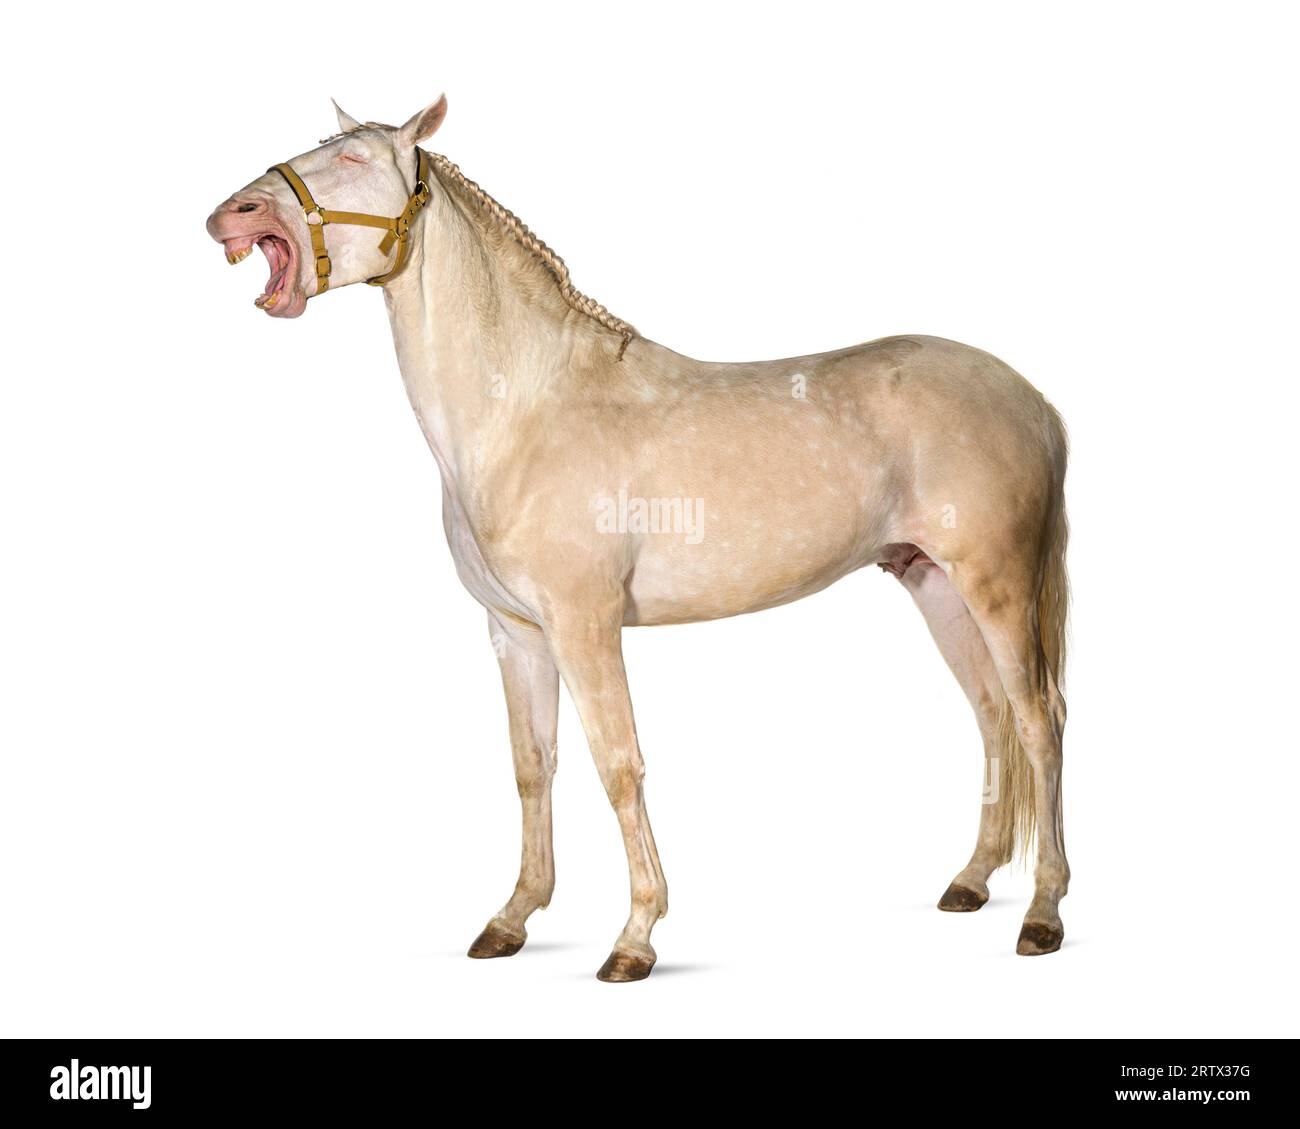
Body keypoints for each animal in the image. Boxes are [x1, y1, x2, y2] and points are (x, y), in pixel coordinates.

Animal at [208, 94, 1071, 978]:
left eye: (355, 159)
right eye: (321, 145)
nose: (232, 215)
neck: (526, 410)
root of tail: (1035, 401)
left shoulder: (585, 626)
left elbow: (618, 766)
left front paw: (635, 937)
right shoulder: (515, 631)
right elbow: (532, 767)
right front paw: (512, 919)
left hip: (998, 586)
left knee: (1040, 721)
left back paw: (1042, 913)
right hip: (934, 583)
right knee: (990, 713)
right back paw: (971, 880)